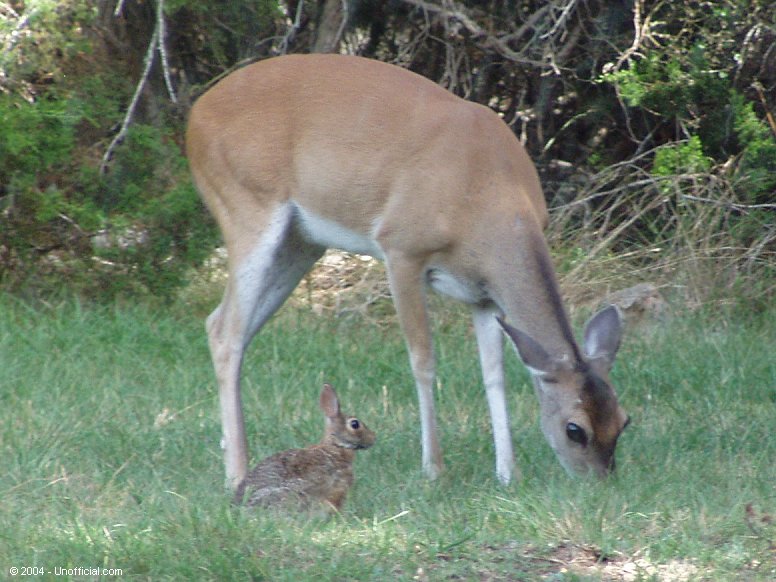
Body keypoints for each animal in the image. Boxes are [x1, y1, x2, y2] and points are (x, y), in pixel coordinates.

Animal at [188, 53, 632, 492]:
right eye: (575, 429)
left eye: (623, 420)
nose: (600, 482)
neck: (485, 194)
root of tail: (195, 115)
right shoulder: (401, 248)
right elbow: (423, 360)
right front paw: (433, 469)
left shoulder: (483, 294)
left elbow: (495, 374)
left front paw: (508, 474)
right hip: (247, 205)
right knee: (226, 331)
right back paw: (237, 474)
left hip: (301, 242)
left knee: (223, 325)